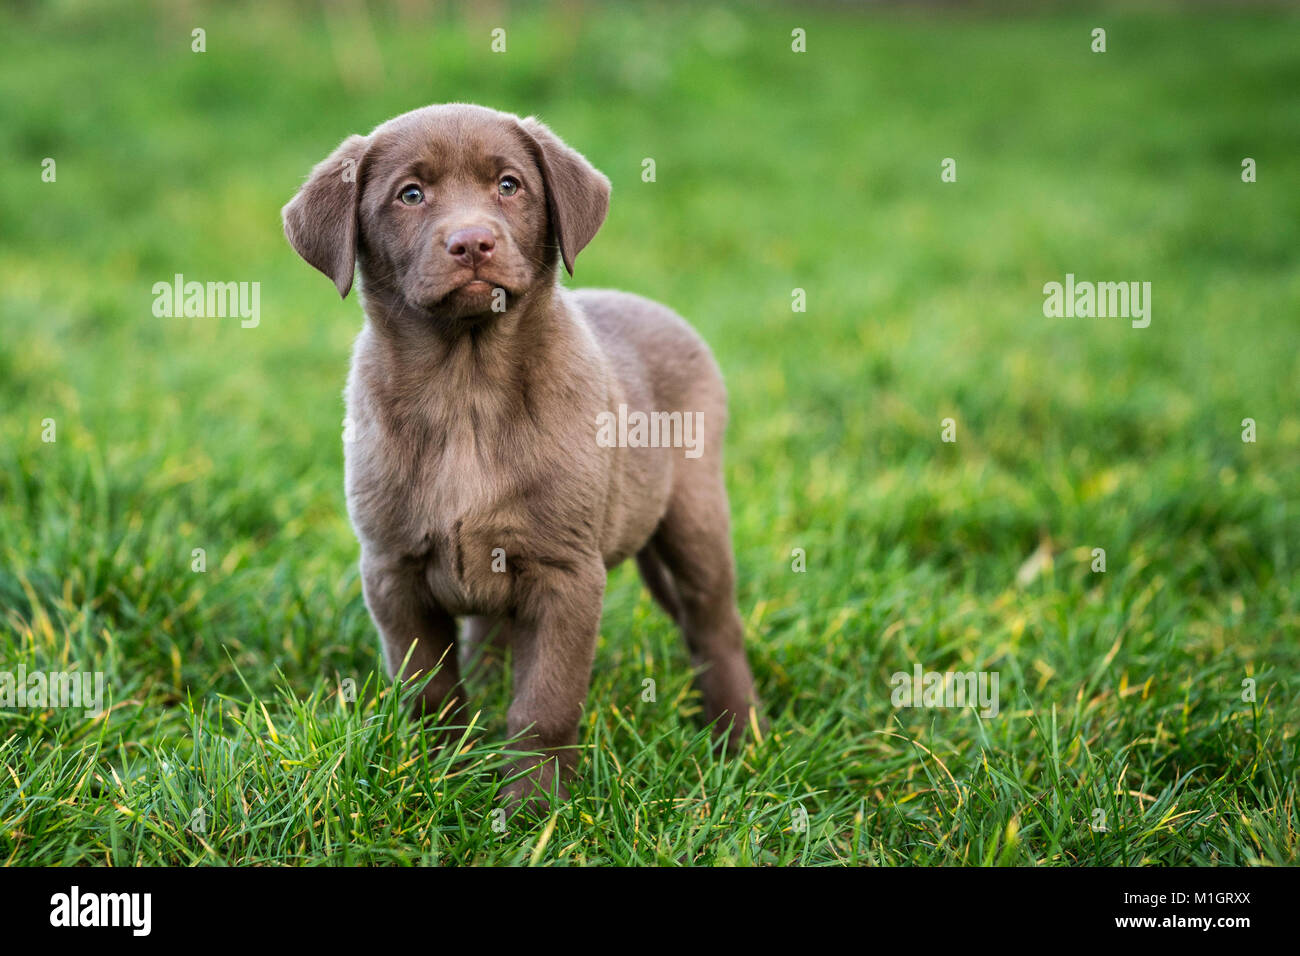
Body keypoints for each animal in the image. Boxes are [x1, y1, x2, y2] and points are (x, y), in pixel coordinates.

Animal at [279, 102, 759, 806]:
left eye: (509, 185)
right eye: (410, 194)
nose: (473, 243)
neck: (466, 388)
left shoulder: (566, 575)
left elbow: (544, 703)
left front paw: (536, 807)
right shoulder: (392, 570)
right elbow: (430, 691)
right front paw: (437, 777)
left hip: (695, 513)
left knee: (714, 626)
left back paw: (738, 737)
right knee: (491, 637)